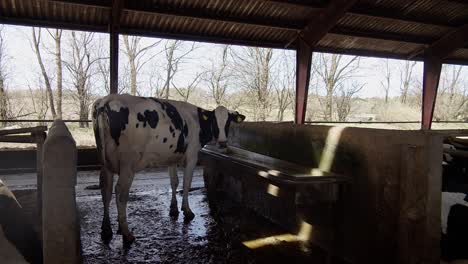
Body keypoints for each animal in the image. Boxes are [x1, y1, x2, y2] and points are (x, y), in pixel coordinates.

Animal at [91, 94, 245, 246]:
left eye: (228, 122)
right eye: (214, 121)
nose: (222, 142)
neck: (196, 121)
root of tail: (106, 100)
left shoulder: (172, 158)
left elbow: (174, 182)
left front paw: (173, 209)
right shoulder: (192, 156)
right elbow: (186, 183)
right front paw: (187, 210)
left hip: (105, 162)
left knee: (105, 190)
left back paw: (106, 230)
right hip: (127, 163)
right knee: (120, 192)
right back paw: (126, 234)